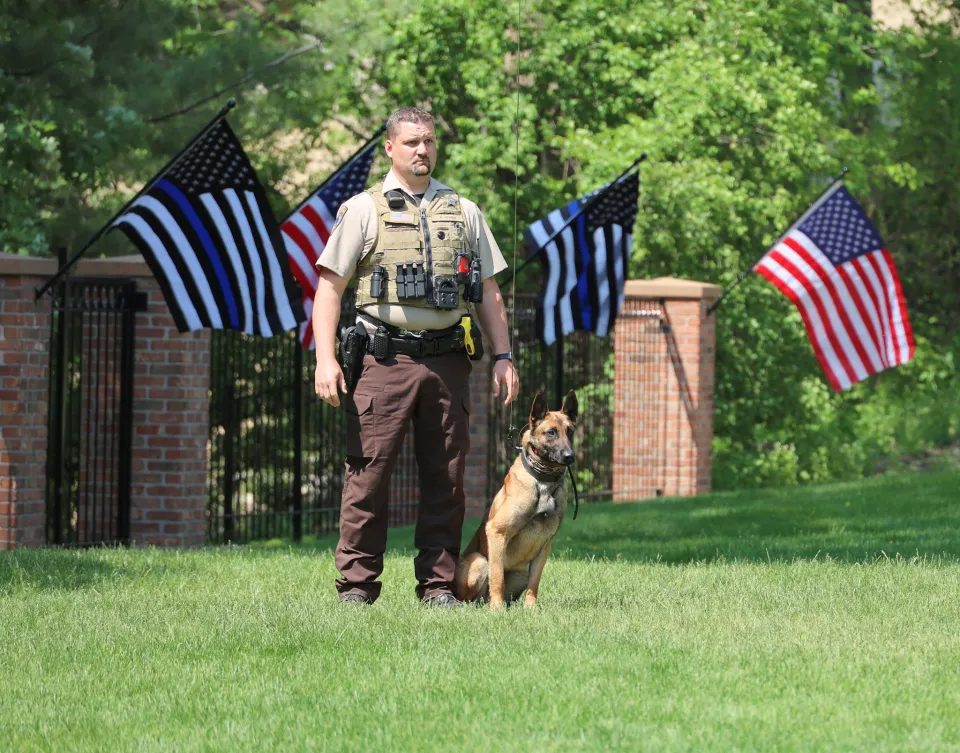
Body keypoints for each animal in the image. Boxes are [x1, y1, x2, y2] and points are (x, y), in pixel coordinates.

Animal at [458, 390, 576, 608]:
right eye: (551, 432)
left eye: (570, 431)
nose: (569, 456)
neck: (543, 481)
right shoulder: (497, 532)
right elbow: (497, 577)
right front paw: (497, 609)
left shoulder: (545, 544)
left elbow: (534, 582)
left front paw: (531, 608)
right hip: (480, 561)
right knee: (474, 596)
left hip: (520, 574)